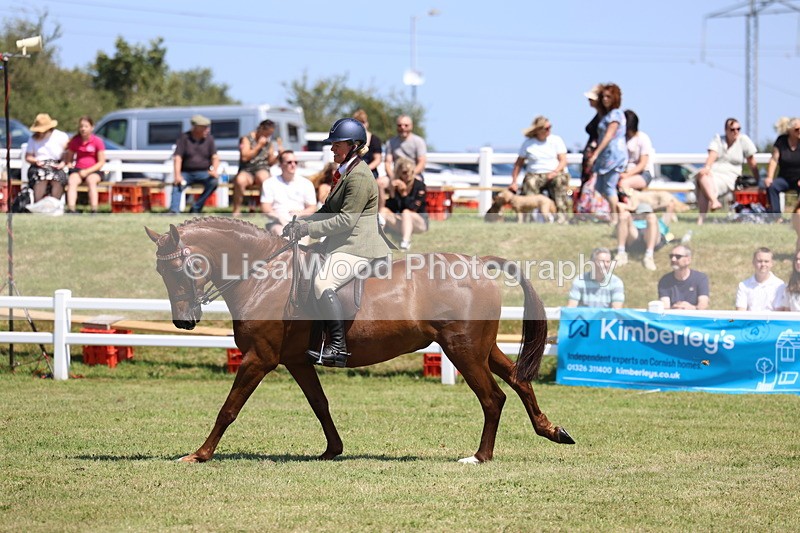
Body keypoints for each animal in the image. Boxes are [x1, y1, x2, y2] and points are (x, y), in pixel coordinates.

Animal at [145, 217, 574, 464]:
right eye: (160, 272)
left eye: (182, 268)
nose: (183, 322)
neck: (263, 275)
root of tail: (477, 263)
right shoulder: (296, 360)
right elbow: (320, 404)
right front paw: (333, 450)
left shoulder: (259, 358)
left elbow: (228, 408)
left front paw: (199, 455)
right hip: (480, 348)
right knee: (518, 379)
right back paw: (553, 431)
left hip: (463, 351)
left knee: (493, 397)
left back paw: (480, 456)